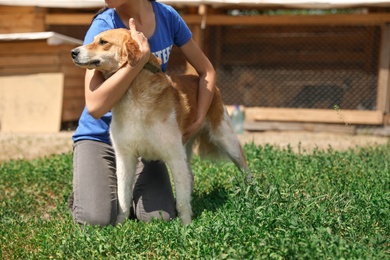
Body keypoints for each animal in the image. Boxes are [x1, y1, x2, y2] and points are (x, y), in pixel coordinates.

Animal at [70, 27, 250, 224]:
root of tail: (209, 85)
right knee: (190, 177)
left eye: (103, 42)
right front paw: (119, 225)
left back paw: (254, 194)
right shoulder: (125, 157)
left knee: (245, 167)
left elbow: (181, 200)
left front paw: (187, 226)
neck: (135, 94)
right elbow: (123, 198)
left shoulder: (174, 156)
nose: (73, 52)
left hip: (226, 139)